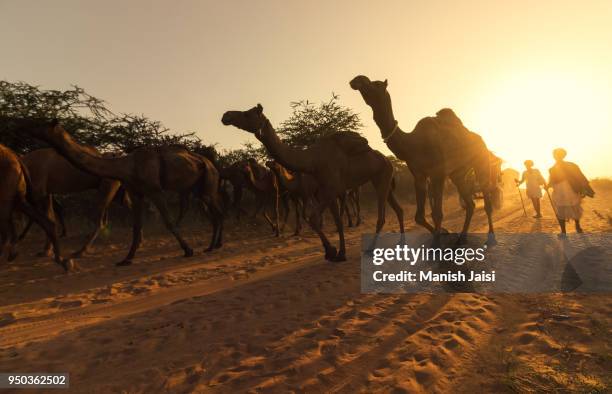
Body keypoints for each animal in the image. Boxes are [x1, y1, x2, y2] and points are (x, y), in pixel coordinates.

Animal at [23, 120, 226, 266]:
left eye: (42, 125)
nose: (28, 127)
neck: (126, 166)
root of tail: (211, 164)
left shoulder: (155, 190)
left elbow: (168, 222)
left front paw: (188, 250)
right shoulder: (136, 193)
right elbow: (136, 226)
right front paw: (126, 259)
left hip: (208, 182)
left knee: (217, 212)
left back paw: (213, 246)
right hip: (198, 189)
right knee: (212, 211)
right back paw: (213, 245)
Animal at [222, 104, 404, 262]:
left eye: (247, 113)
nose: (226, 116)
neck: (312, 160)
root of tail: (388, 161)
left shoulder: (330, 189)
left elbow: (314, 218)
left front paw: (332, 252)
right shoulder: (326, 190)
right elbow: (335, 221)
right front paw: (339, 253)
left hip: (382, 177)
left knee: (382, 216)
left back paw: (372, 249)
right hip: (382, 180)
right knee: (398, 209)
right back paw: (401, 245)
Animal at [350, 75, 498, 245]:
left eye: (376, 84)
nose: (357, 79)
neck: (413, 144)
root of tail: (480, 139)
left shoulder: (438, 174)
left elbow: (437, 213)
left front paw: (437, 241)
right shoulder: (419, 175)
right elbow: (419, 216)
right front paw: (443, 232)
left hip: (481, 160)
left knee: (486, 199)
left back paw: (491, 238)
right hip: (458, 173)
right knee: (470, 203)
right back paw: (462, 237)